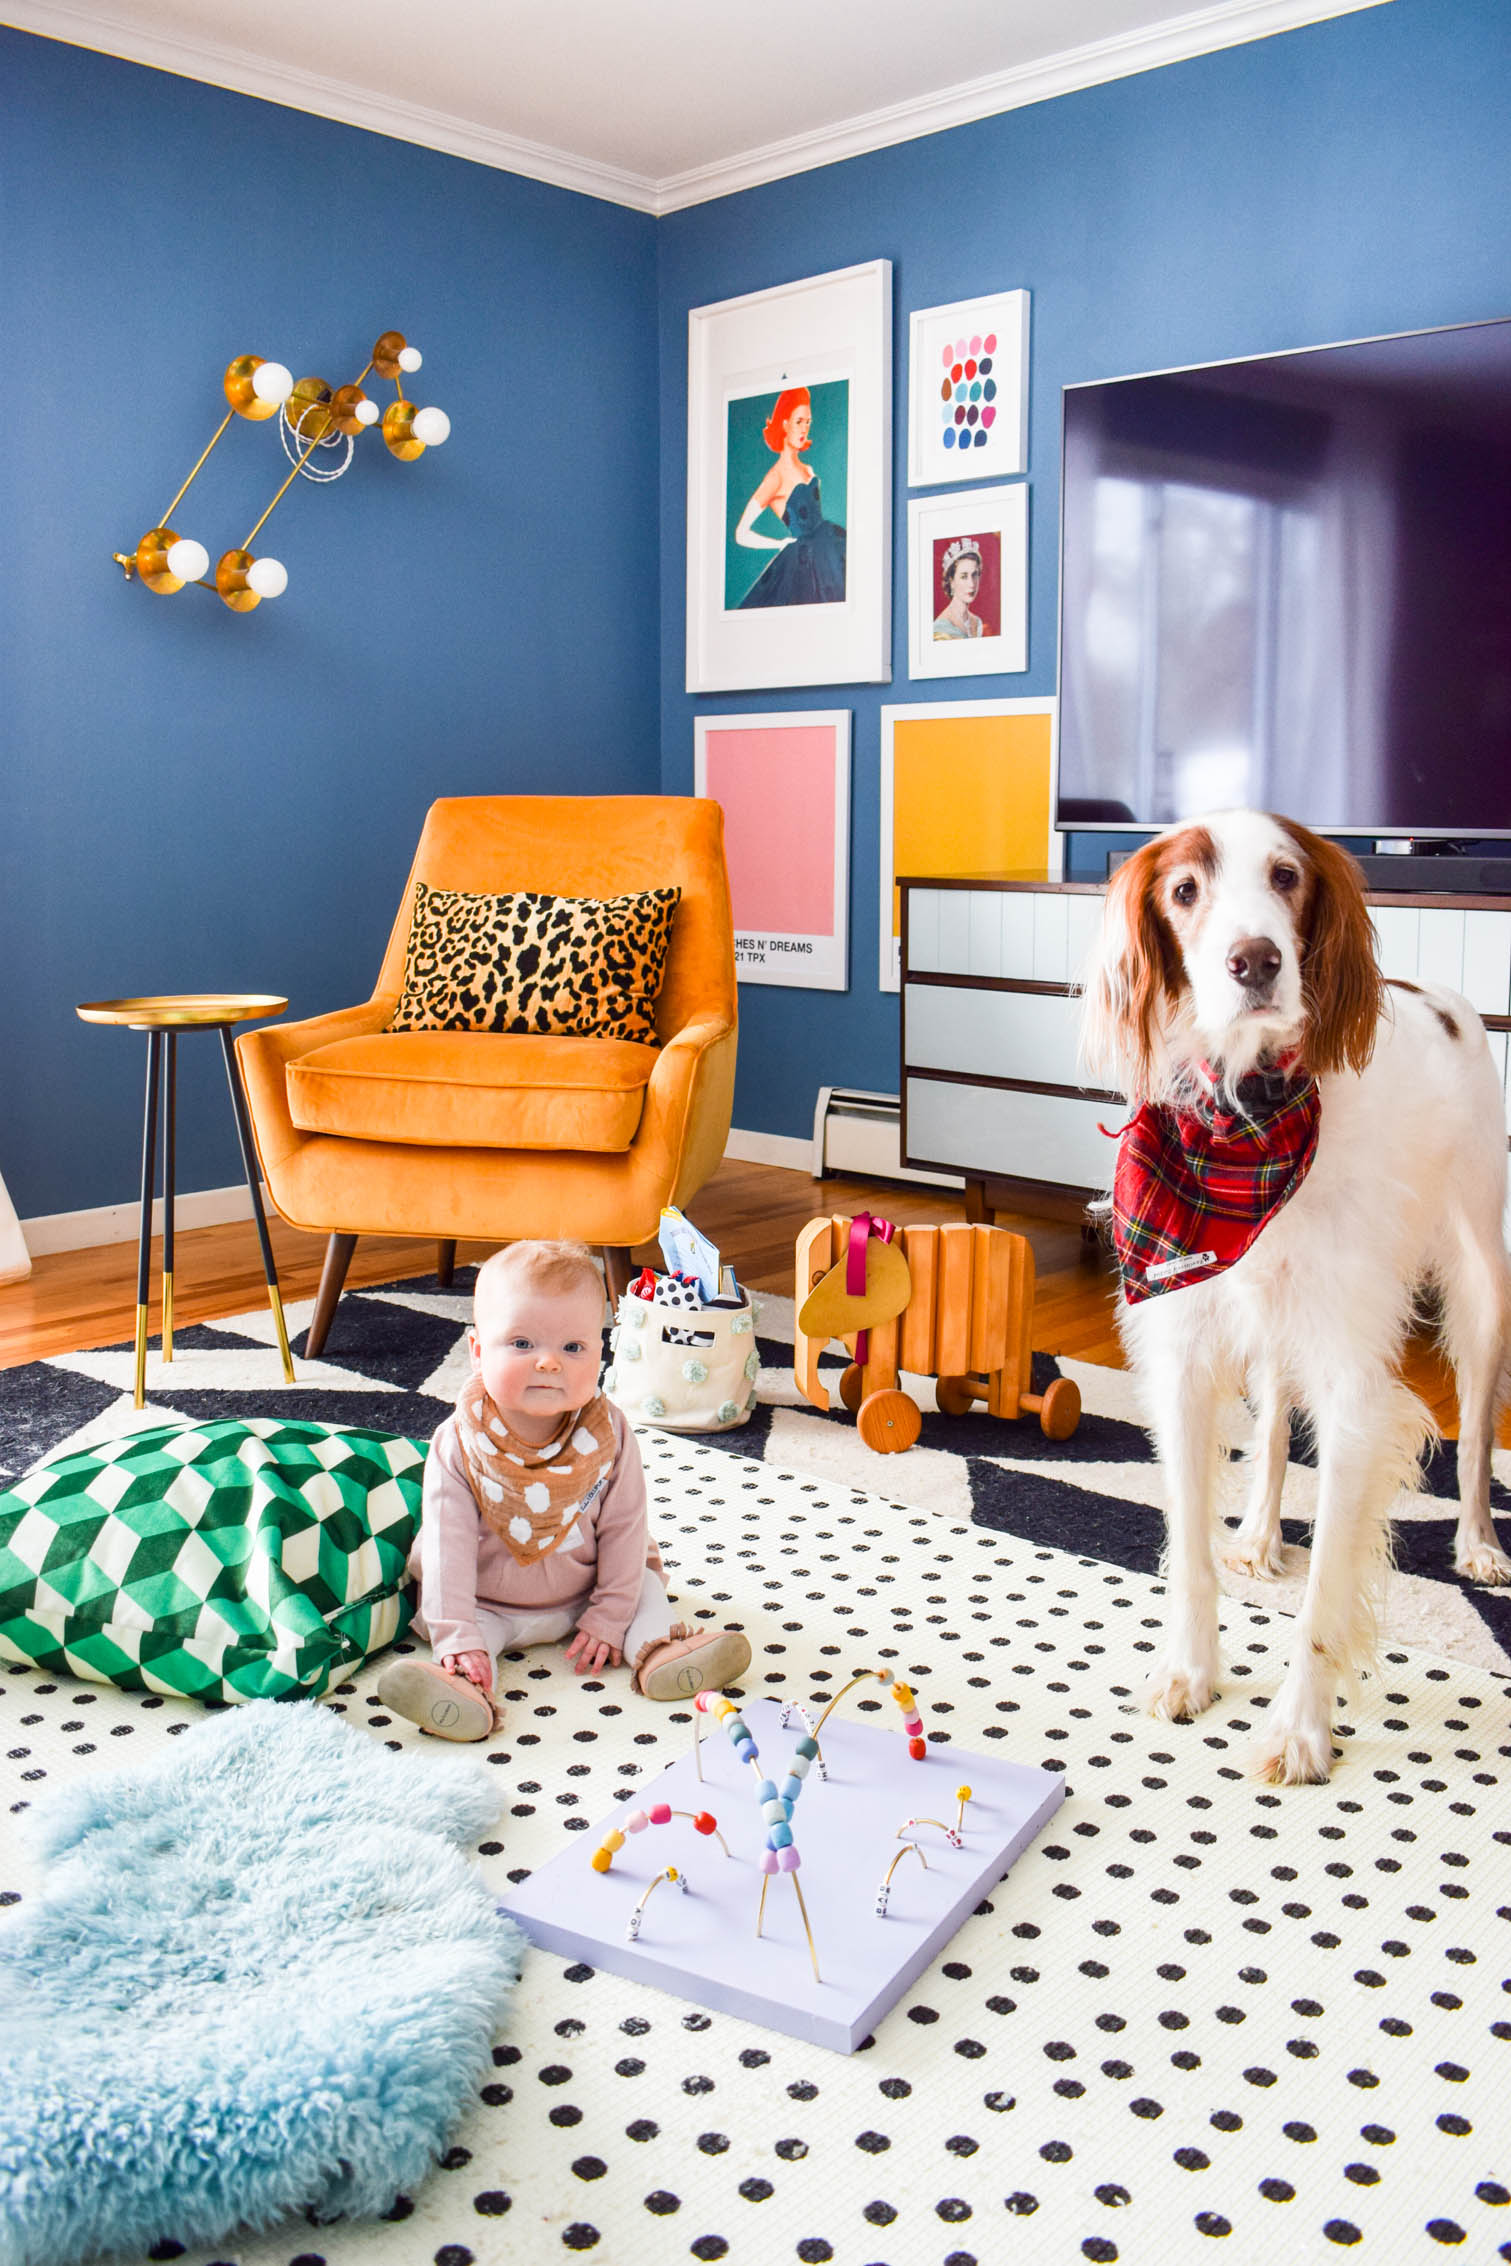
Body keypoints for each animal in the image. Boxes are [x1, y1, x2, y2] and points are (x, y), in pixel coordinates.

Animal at [1082, 815, 1504, 1785]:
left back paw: (1476, 1543)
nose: (1254, 961)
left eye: (1285, 877)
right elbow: (1189, 1547)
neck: (1242, 1126)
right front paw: (1190, 1671)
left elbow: (1321, 1598)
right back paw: (1259, 1532)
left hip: (1482, 1283)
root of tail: (1448, 999)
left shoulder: (1353, 1379)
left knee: (1474, 1437)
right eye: (1184, 891)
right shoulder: (1182, 1353)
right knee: (1274, 1420)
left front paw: (1299, 1731)